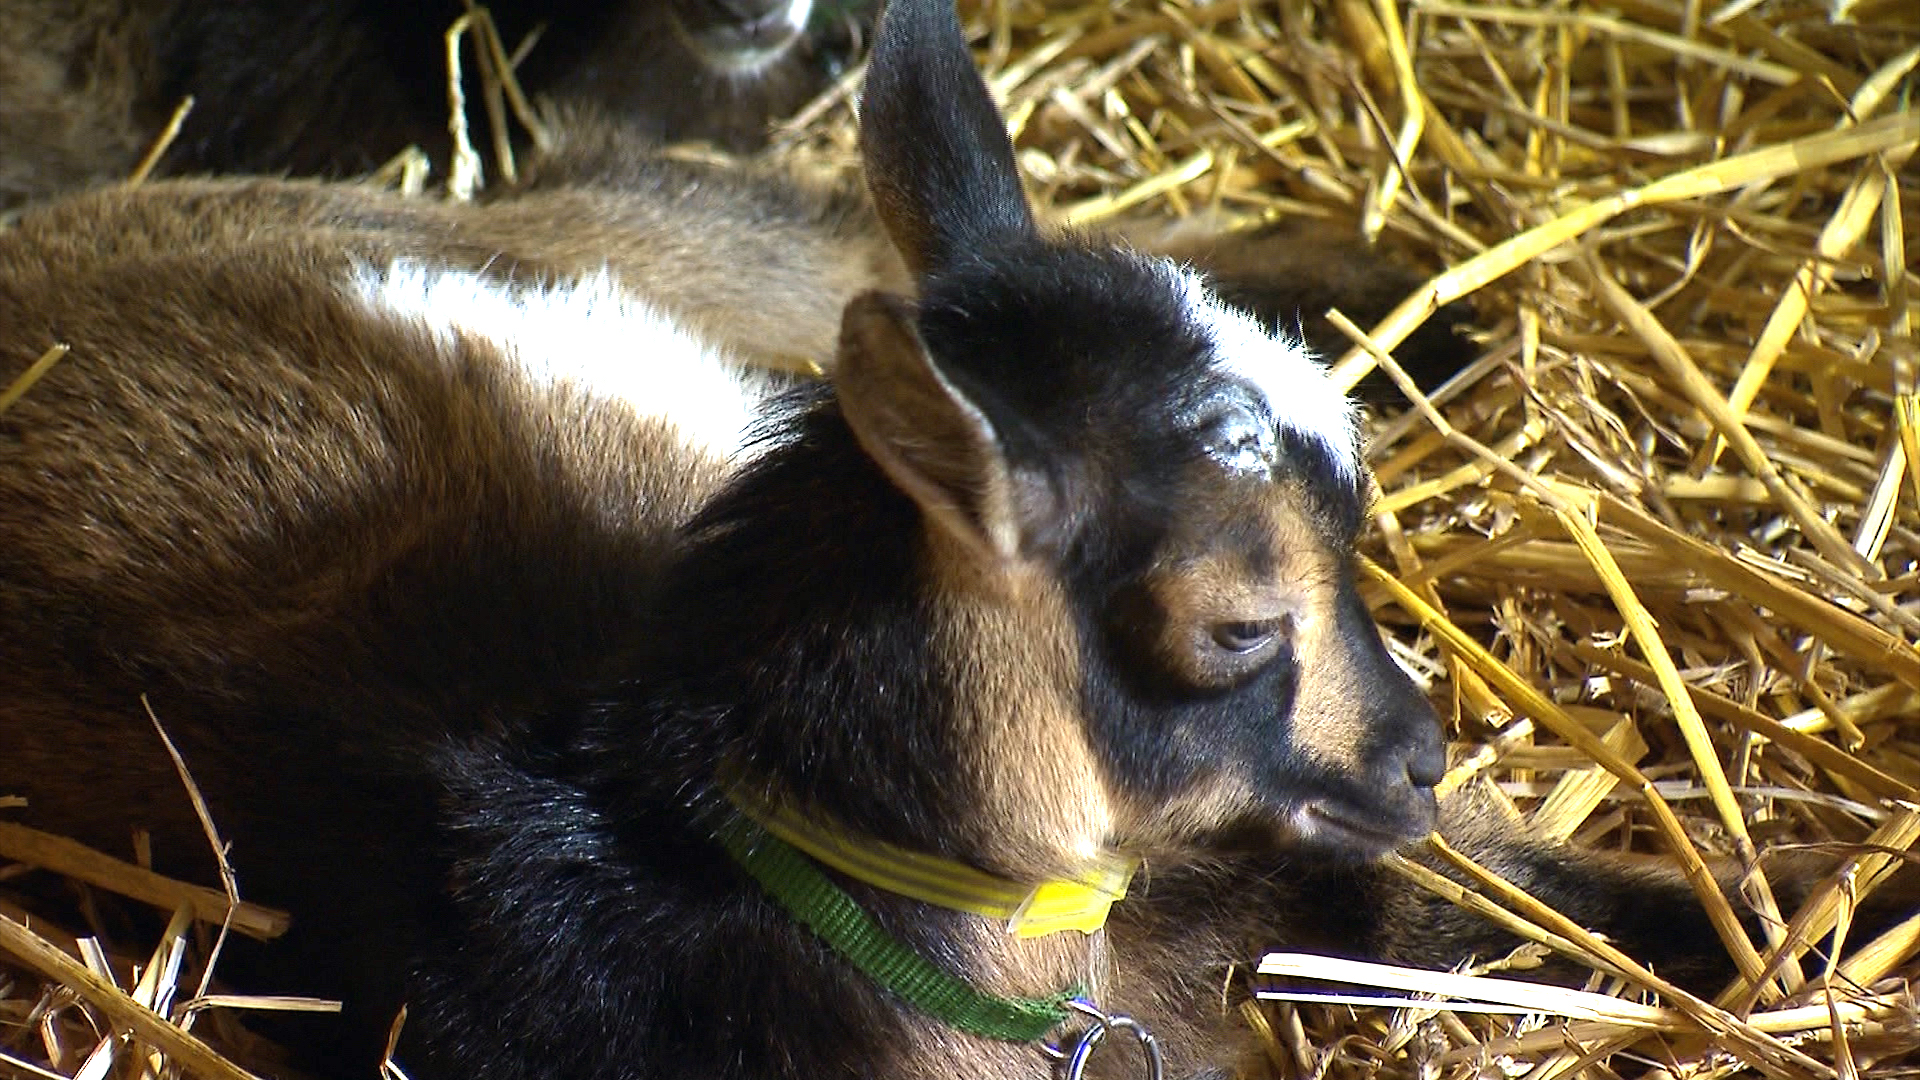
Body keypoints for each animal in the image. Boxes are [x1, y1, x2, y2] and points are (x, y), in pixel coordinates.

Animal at [0, 0, 1896, 1068]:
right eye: (1234, 623)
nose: (1424, 752)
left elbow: (1470, 905)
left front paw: (1824, 906)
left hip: (665, 242)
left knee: (822, 228)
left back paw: (1406, 289)